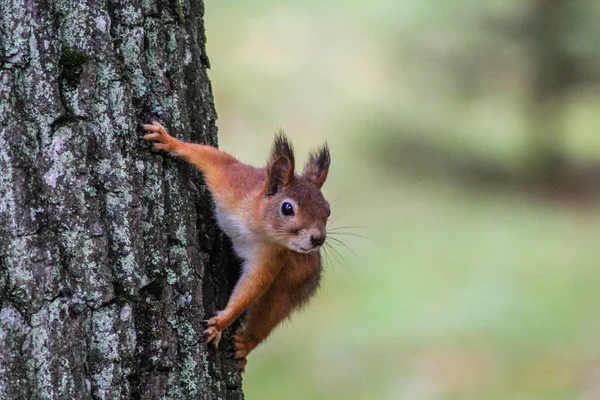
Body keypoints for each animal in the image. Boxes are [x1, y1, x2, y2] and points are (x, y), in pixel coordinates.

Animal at [143, 122, 330, 372]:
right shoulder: (231, 180)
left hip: (290, 283)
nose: (318, 239)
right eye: (287, 208)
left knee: (269, 313)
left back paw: (245, 343)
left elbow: (253, 285)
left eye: (327, 210)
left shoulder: (272, 254)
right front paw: (168, 140)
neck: (255, 224)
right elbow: (208, 156)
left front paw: (221, 323)